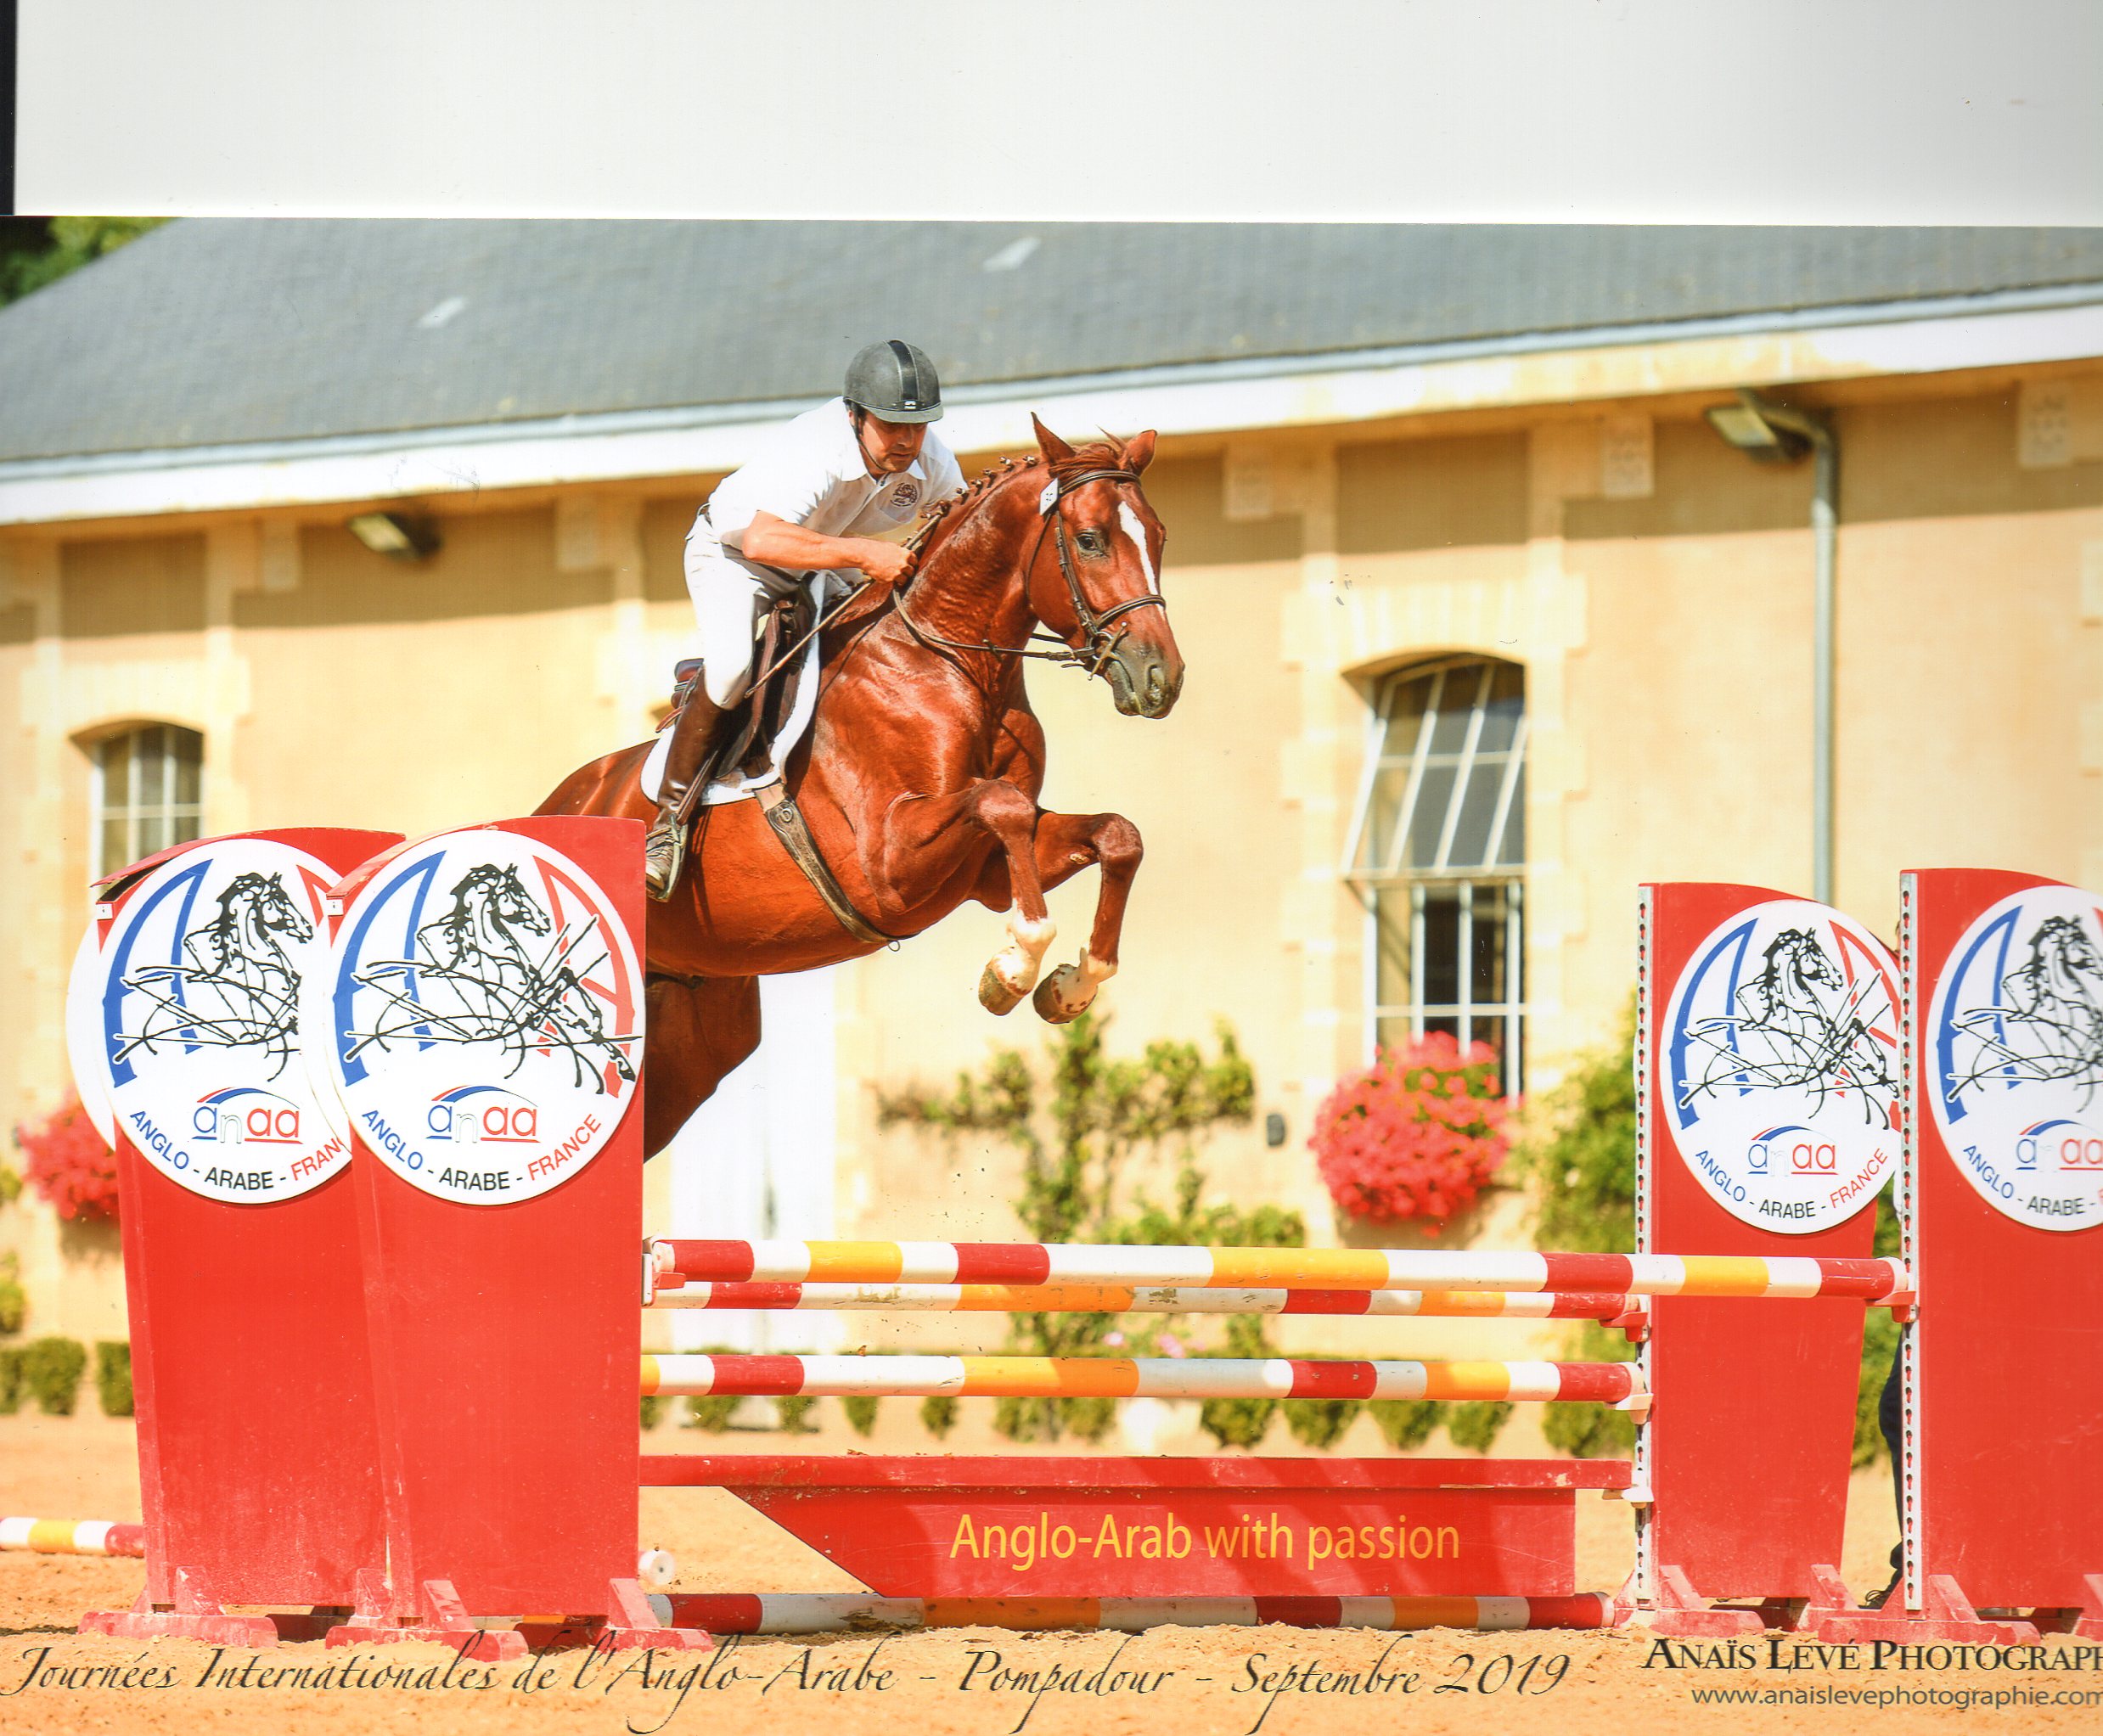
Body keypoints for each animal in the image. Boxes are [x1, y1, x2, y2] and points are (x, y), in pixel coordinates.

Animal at [538, 418, 1186, 1151]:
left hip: (690, 1036)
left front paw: (1071, 984)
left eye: (1159, 535)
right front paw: (1012, 968)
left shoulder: (985, 872)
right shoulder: (888, 866)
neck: (947, 662)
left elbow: (1115, 835)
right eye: (1090, 539)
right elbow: (1003, 805)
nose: (1161, 678)